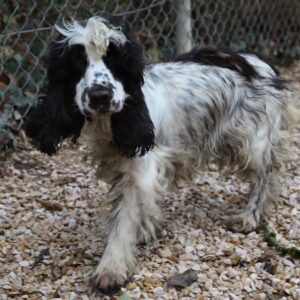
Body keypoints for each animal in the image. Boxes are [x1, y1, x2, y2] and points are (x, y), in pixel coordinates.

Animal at [24, 15, 288, 292]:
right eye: (77, 62)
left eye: (115, 60)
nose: (100, 96)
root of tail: (257, 62)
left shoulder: (141, 172)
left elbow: (124, 222)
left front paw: (111, 268)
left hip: (252, 143)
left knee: (267, 174)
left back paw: (249, 217)